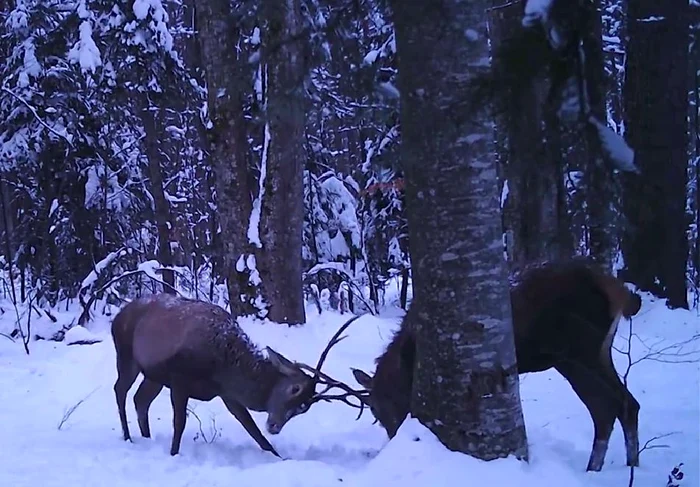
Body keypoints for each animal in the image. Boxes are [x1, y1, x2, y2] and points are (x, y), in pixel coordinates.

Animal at [109, 294, 366, 458]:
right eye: (295, 388)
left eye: (304, 408)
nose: (275, 426)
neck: (223, 366)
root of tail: (117, 316)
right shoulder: (179, 378)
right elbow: (179, 423)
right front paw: (174, 454)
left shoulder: (226, 393)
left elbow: (252, 429)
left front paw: (279, 456)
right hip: (126, 354)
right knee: (120, 390)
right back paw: (128, 437)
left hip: (152, 374)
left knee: (141, 400)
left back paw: (146, 437)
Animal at [352, 260, 644, 472]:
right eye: (374, 411)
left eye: (393, 402)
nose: (393, 438)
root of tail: (621, 292)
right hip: (577, 357)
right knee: (611, 407)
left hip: (583, 349)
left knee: (618, 403)